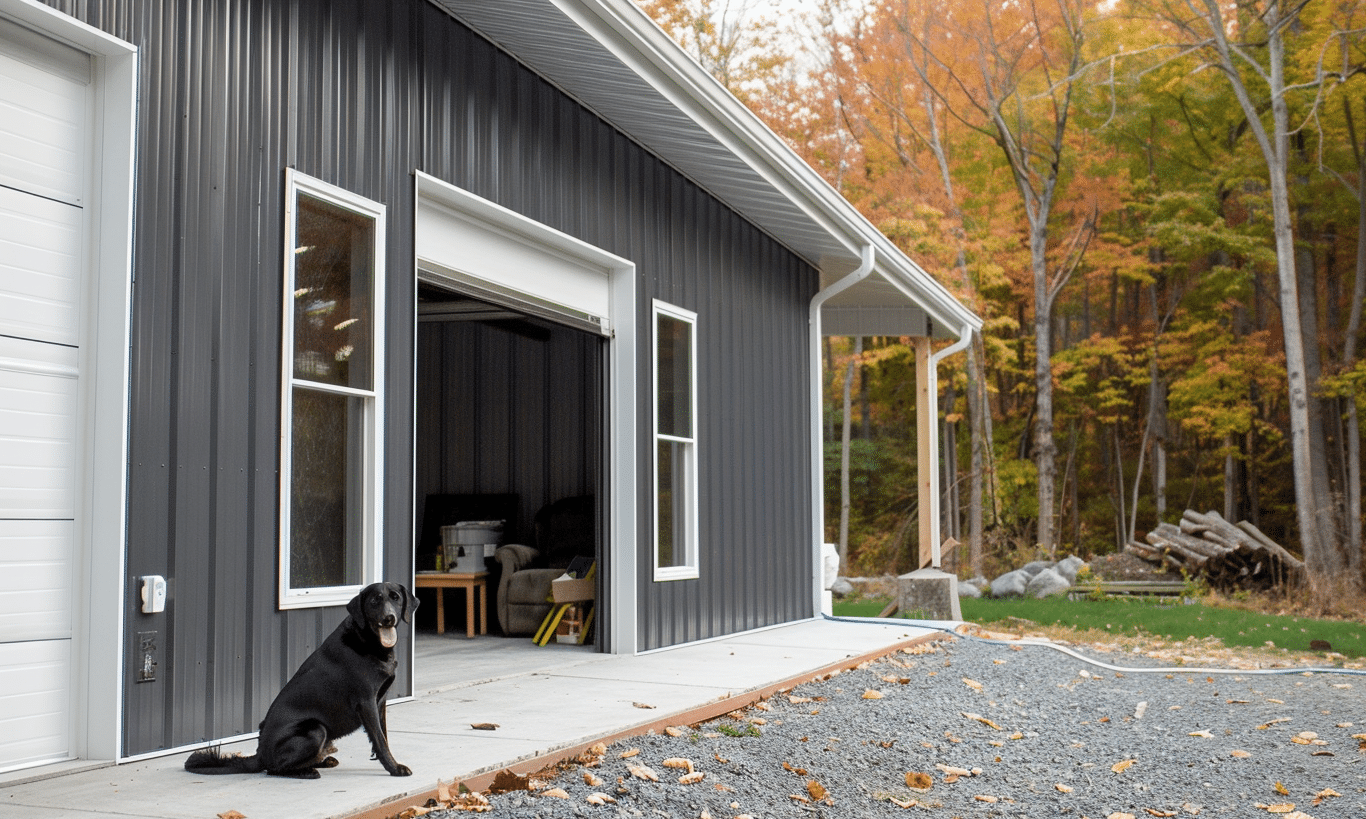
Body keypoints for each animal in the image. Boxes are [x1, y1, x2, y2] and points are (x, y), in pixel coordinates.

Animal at [184, 578, 415, 775]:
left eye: (396, 598)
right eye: (375, 600)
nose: (389, 618)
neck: (368, 641)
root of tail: (260, 754)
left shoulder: (380, 700)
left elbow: (384, 735)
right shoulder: (366, 701)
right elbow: (380, 738)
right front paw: (395, 768)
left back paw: (322, 761)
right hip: (316, 730)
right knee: (274, 769)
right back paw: (307, 772)